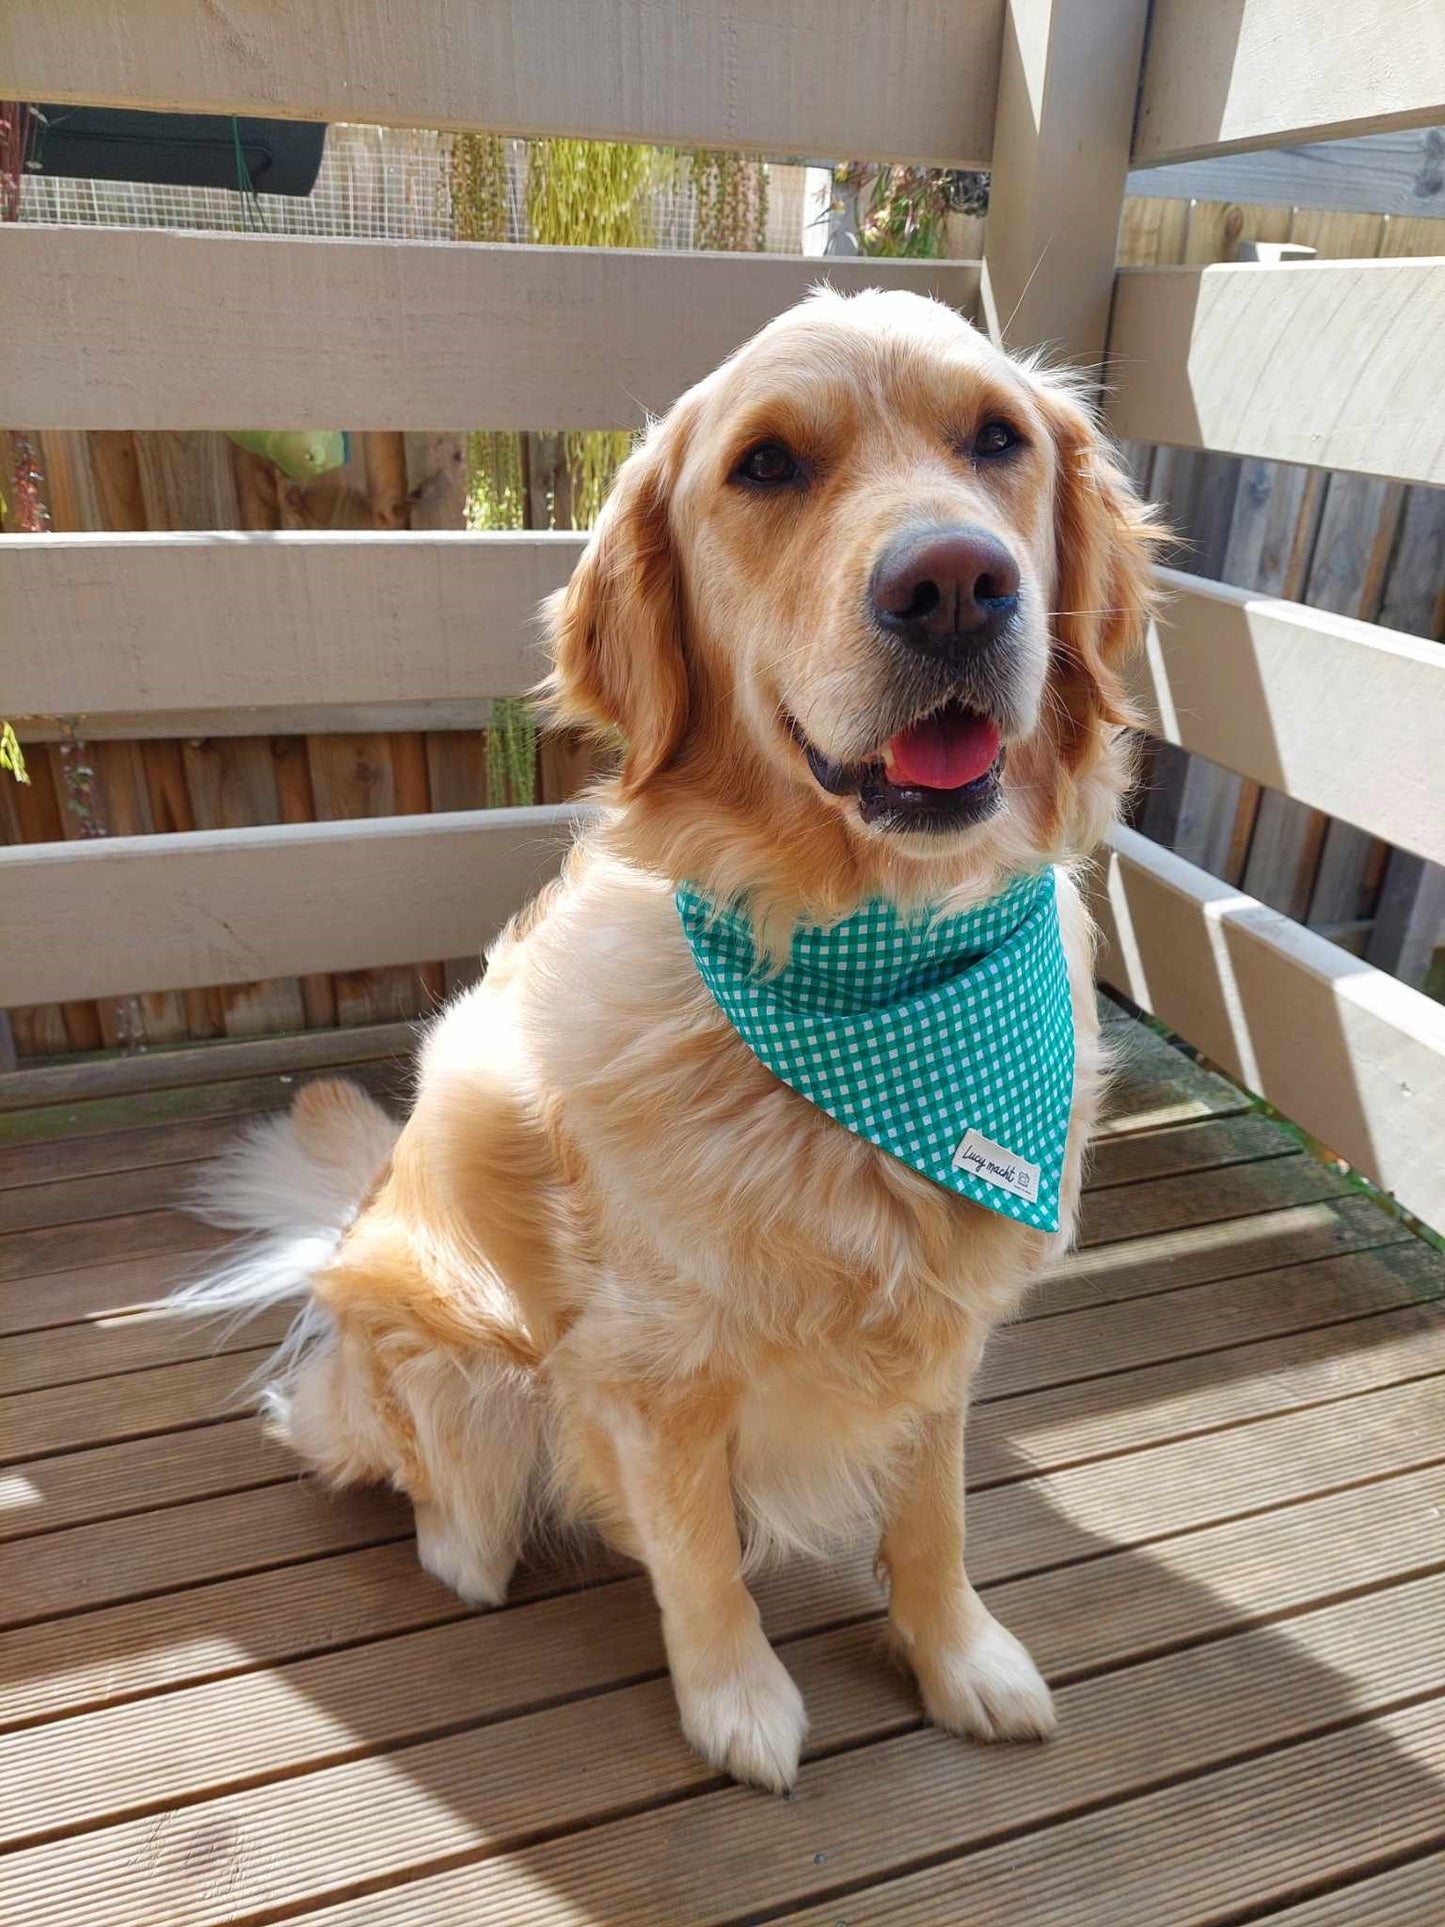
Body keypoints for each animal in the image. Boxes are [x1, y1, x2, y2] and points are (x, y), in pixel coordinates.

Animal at [181, 285, 1163, 1788]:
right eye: (765, 465)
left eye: (995, 438)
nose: (954, 583)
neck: (865, 966)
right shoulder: (650, 1372)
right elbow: (698, 1551)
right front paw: (736, 1700)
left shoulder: (941, 1341)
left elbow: (931, 1515)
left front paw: (958, 1655)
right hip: (459, 1362)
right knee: (417, 1493)